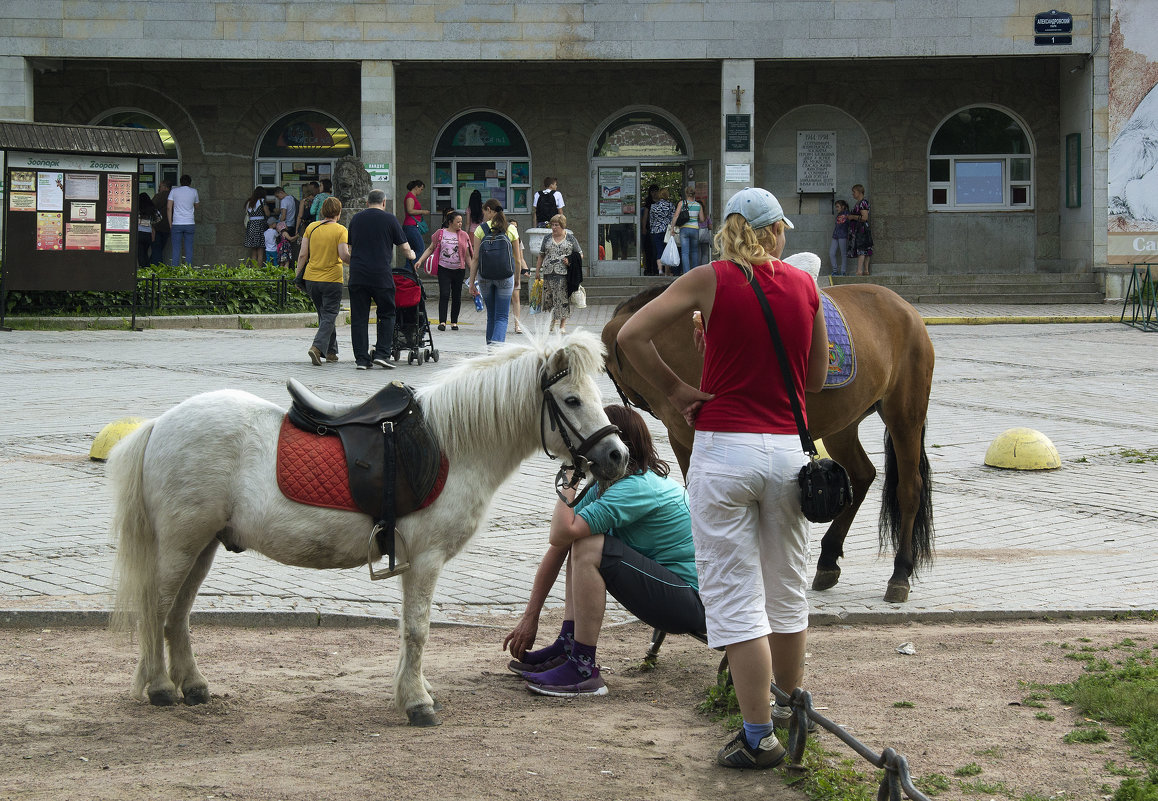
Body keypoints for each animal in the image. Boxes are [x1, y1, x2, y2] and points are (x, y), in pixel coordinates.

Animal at [110, 331, 625, 726]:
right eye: (572, 399)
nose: (617, 456)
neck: (452, 446)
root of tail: (159, 425)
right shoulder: (427, 560)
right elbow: (417, 629)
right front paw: (417, 704)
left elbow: (407, 630)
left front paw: (412, 690)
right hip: (182, 545)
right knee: (157, 608)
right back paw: (159, 687)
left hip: (202, 547)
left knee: (177, 615)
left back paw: (192, 685)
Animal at [602, 281, 935, 601]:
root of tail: (906, 309)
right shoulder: (683, 441)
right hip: (844, 424)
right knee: (862, 475)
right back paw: (828, 559)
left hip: (904, 417)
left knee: (909, 489)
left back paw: (900, 572)